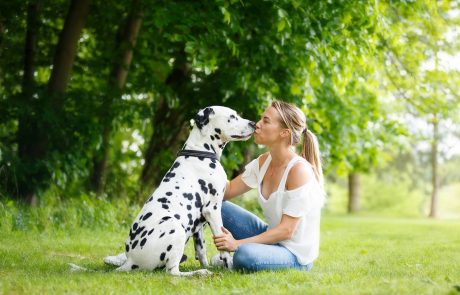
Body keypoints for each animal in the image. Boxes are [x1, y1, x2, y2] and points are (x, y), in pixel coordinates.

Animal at [104, 107, 255, 278]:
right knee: (173, 272)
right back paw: (199, 272)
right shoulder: (212, 210)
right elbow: (223, 247)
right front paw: (228, 266)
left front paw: (209, 265)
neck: (200, 152)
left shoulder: (199, 224)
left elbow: (201, 251)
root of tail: (130, 260)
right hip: (175, 228)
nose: (253, 123)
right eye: (232, 116)